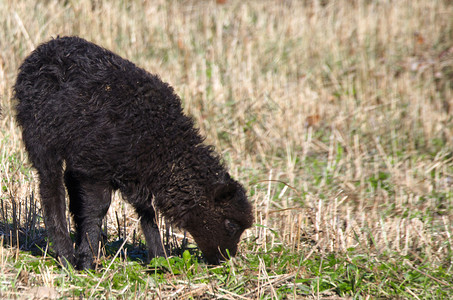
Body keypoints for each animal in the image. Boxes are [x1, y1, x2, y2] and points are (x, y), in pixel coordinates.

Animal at [13, 35, 254, 270]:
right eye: (230, 224)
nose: (225, 260)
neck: (163, 142)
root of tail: (44, 49)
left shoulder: (135, 172)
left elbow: (146, 212)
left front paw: (160, 259)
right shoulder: (95, 168)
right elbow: (96, 210)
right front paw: (87, 261)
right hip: (42, 137)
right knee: (51, 190)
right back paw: (66, 256)